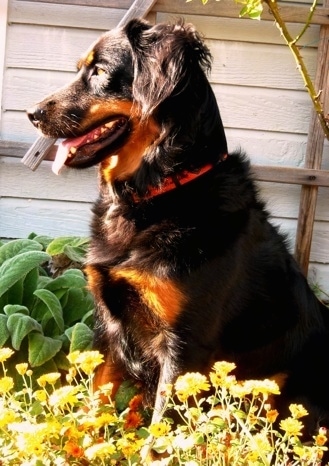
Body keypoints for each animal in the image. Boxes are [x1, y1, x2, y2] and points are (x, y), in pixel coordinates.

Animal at [27, 18, 328, 446]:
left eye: (99, 71)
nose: (31, 113)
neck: (158, 194)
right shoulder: (110, 324)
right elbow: (96, 401)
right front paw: (76, 446)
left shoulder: (185, 346)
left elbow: (160, 433)